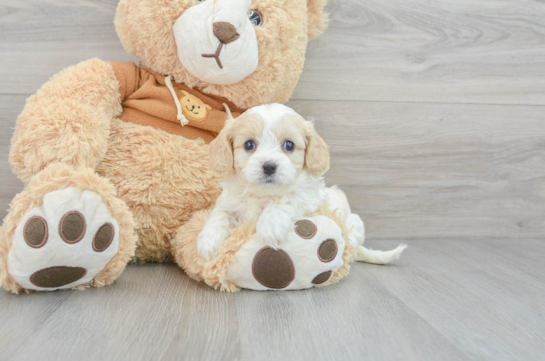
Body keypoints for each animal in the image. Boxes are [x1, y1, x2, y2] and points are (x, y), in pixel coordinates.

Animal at [196, 102, 404, 262]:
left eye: (289, 145)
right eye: (248, 145)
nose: (269, 166)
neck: (263, 194)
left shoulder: (309, 198)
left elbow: (286, 199)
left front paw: (270, 225)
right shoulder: (229, 201)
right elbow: (220, 214)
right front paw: (207, 241)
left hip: (354, 224)